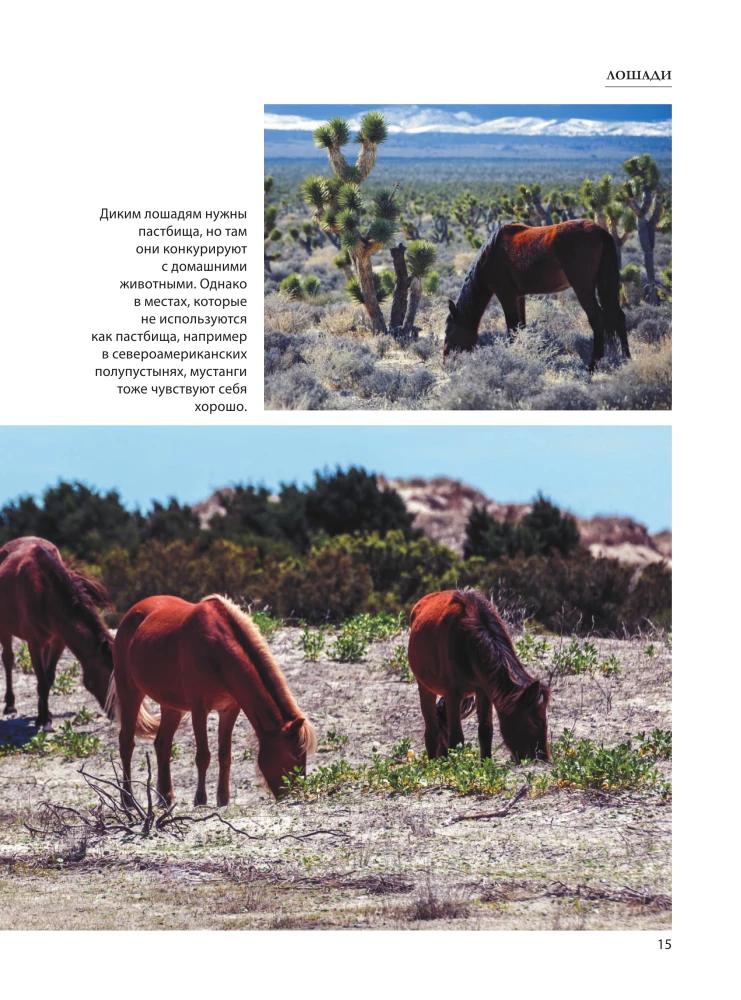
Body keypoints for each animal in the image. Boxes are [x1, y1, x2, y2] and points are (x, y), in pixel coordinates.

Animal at [0, 537, 114, 729]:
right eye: (108, 677)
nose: (115, 714)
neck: (46, 594)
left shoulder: (59, 641)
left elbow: (48, 677)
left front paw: (44, 714)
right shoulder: (34, 643)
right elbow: (42, 681)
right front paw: (44, 720)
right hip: (4, 628)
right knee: (8, 659)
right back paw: (9, 705)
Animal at [108, 593, 316, 805]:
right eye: (294, 755)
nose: (296, 792)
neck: (217, 652)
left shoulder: (229, 709)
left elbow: (224, 754)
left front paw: (223, 799)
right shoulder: (199, 708)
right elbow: (203, 756)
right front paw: (200, 798)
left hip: (171, 706)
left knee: (162, 745)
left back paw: (166, 796)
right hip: (130, 693)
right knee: (126, 743)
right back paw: (128, 799)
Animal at [408, 589, 550, 763]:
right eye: (537, 721)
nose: (543, 758)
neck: (467, 643)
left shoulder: (484, 690)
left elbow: (485, 731)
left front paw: (485, 764)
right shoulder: (452, 694)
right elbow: (456, 739)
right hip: (425, 687)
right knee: (432, 730)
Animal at [443, 219, 629, 371]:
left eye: (449, 330)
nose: (445, 362)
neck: (491, 253)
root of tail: (601, 231)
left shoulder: (506, 295)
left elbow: (512, 328)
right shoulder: (519, 297)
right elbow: (521, 326)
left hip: (583, 287)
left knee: (597, 319)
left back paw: (592, 366)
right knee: (619, 317)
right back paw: (626, 359)